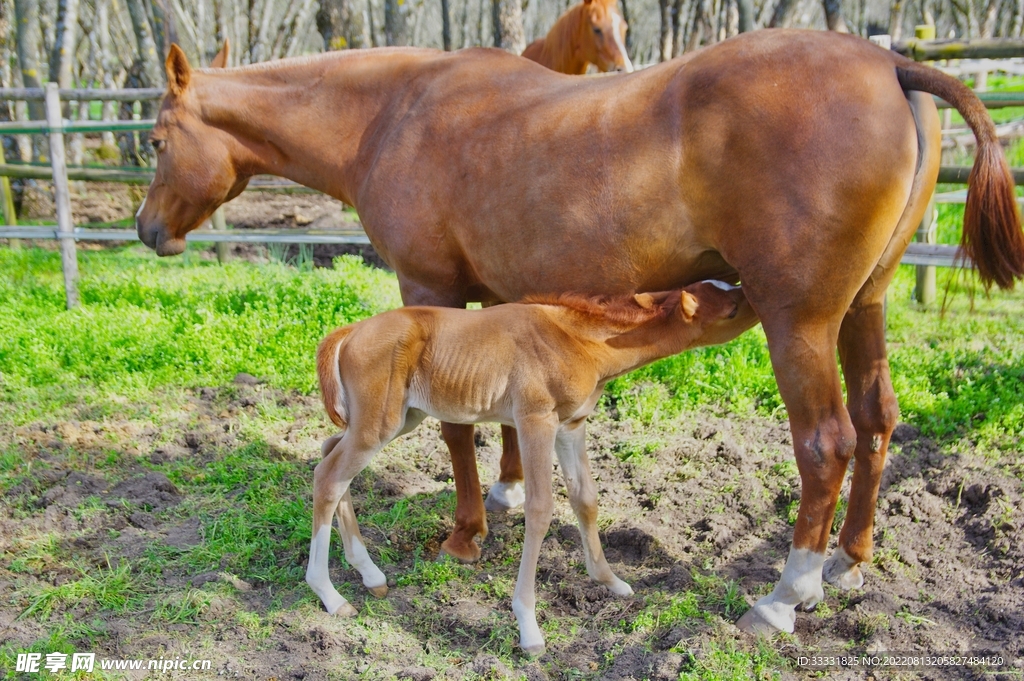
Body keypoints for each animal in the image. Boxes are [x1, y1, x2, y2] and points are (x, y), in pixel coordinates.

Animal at [309, 281, 751, 654]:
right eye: (730, 309)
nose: (751, 294)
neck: (578, 340)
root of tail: (349, 330)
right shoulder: (535, 420)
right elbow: (539, 509)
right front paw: (528, 627)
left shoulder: (571, 425)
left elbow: (585, 499)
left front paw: (609, 580)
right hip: (379, 424)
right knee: (328, 477)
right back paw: (331, 596)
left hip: (400, 419)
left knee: (330, 456)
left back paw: (370, 575)